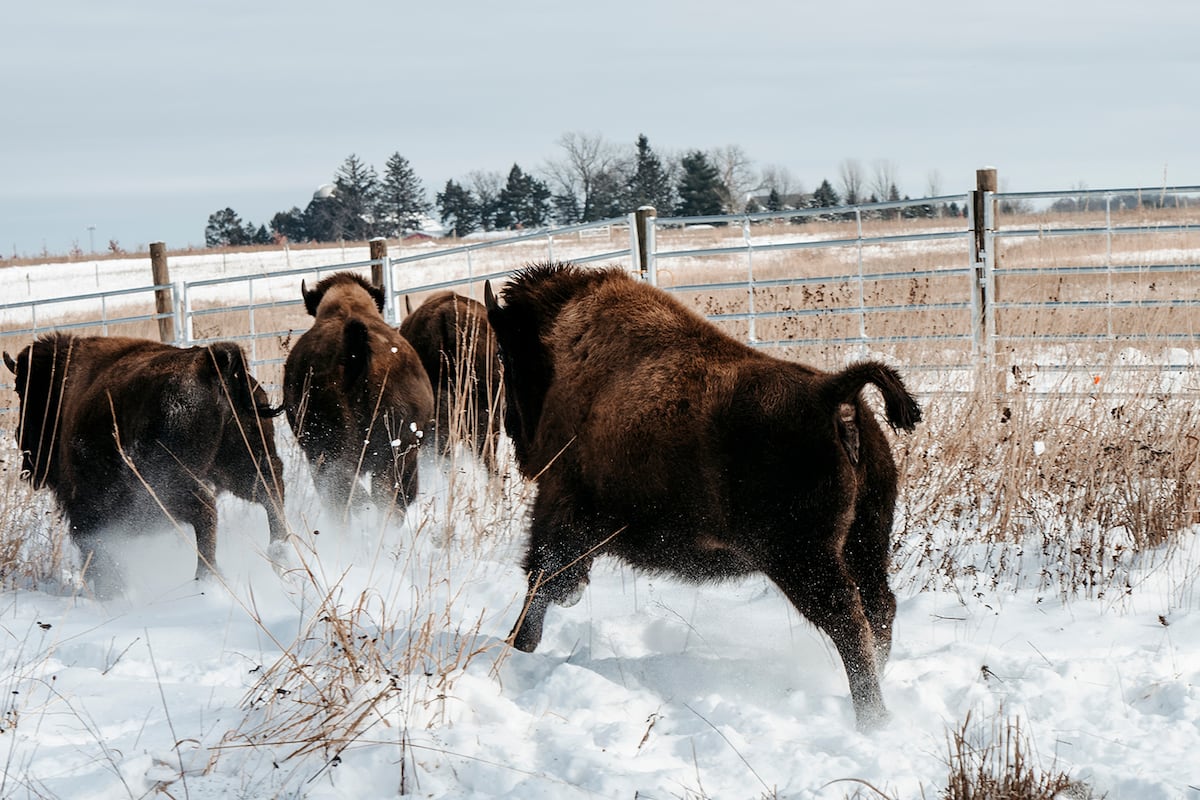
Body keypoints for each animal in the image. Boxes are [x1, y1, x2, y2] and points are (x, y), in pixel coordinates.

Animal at [4, 334, 289, 596]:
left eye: (24, 390)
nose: (22, 441)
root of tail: (211, 362)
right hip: (246, 464)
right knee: (270, 493)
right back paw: (279, 556)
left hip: (173, 485)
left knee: (206, 512)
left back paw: (206, 578)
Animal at [484, 262, 922, 730]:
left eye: (505, 354)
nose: (511, 429)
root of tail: (833, 393)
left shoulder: (559, 504)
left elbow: (540, 577)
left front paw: (518, 644)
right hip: (865, 542)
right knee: (878, 609)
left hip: (803, 559)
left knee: (848, 621)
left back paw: (871, 719)